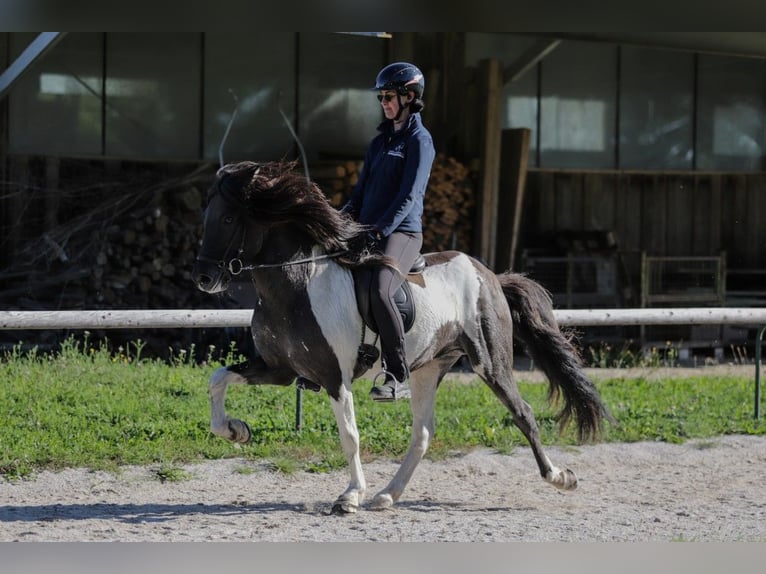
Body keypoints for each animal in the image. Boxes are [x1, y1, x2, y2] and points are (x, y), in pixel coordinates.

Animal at [191, 160, 614, 513]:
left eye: (227, 218)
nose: (203, 278)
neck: (297, 283)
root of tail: (490, 274)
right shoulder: (279, 368)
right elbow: (217, 378)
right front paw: (235, 431)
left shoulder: (334, 376)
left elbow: (349, 434)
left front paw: (349, 496)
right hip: (428, 367)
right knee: (423, 432)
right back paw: (386, 496)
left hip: (490, 363)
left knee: (523, 413)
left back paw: (560, 478)